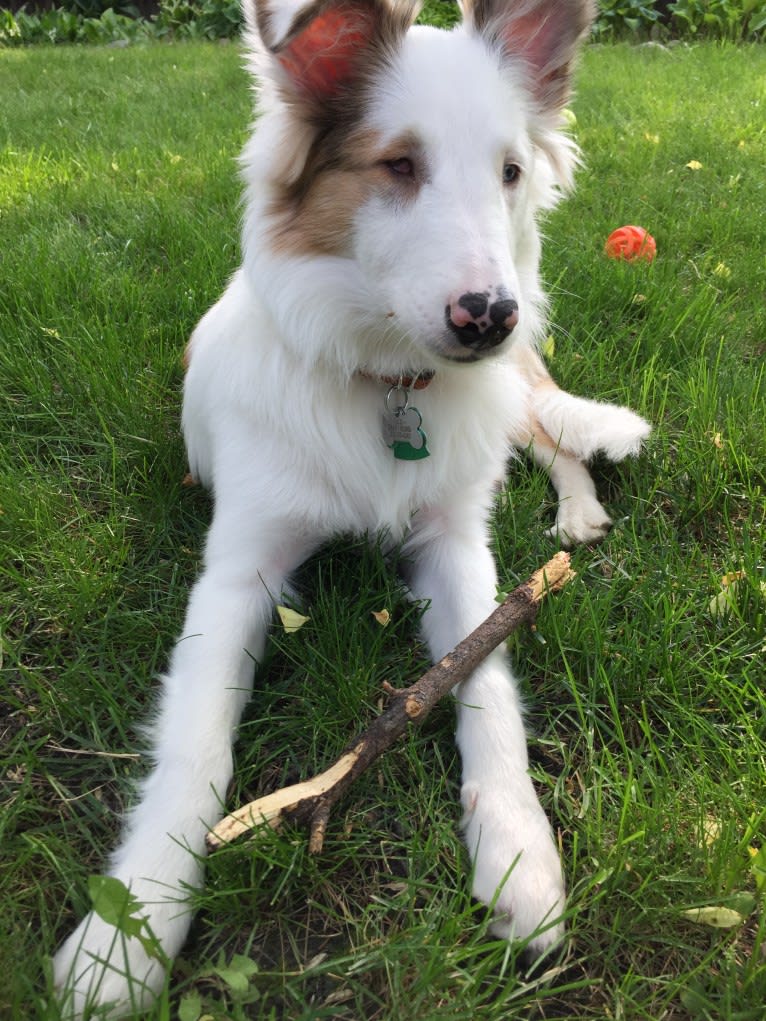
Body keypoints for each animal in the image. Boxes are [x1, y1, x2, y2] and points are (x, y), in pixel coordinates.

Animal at [56, 0, 649, 1012]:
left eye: (510, 172)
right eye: (398, 165)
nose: (488, 316)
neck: (383, 383)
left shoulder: (455, 542)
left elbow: (483, 676)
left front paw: (519, 852)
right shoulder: (238, 570)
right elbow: (196, 743)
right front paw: (128, 930)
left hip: (513, 390)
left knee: (551, 432)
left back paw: (577, 509)